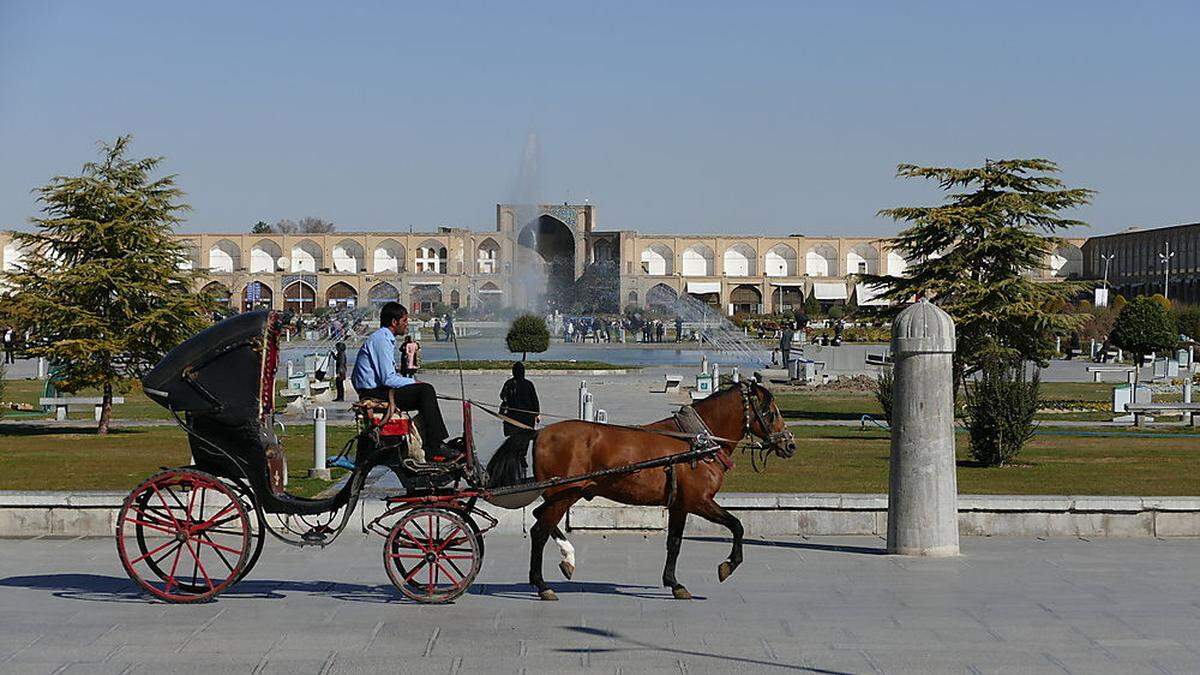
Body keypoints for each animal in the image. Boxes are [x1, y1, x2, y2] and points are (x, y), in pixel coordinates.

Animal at [528, 379, 792, 598]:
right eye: (770, 412)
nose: (789, 444)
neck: (698, 441)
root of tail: (540, 433)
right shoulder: (700, 501)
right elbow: (737, 525)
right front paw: (728, 565)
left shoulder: (680, 505)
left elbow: (674, 543)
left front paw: (674, 583)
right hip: (564, 494)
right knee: (540, 531)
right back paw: (542, 584)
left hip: (560, 495)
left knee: (539, 517)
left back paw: (566, 560)